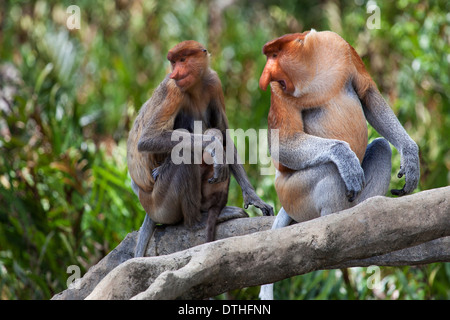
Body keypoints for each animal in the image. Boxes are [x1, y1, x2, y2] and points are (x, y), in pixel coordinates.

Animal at [126, 40, 274, 258]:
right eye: (173, 62)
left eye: (182, 60)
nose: (175, 72)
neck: (195, 86)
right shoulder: (174, 88)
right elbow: (147, 139)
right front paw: (214, 146)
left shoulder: (213, 82)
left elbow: (225, 135)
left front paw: (254, 198)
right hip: (159, 203)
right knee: (185, 152)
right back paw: (196, 221)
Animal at [258, 30, 420, 300]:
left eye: (274, 55)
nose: (265, 76)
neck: (311, 71)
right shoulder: (278, 92)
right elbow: (284, 142)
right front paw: (343, 154)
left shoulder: (340, 46)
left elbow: (367, 93)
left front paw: (410, 156)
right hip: (291, 193)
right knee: (331, 169)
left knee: (381, 147)